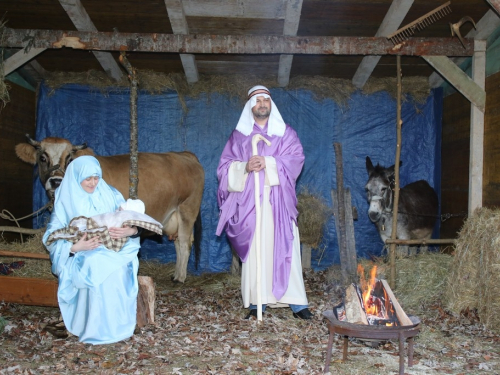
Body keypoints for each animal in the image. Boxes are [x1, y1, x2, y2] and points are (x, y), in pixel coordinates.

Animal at [15, 135, 204, 282]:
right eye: (42, 157)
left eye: (69, 158)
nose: (56, 181)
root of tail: (184, 154)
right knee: (179, 242)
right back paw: (176, 274)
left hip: (188, 208)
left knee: (185, 242)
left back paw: (180, 277)